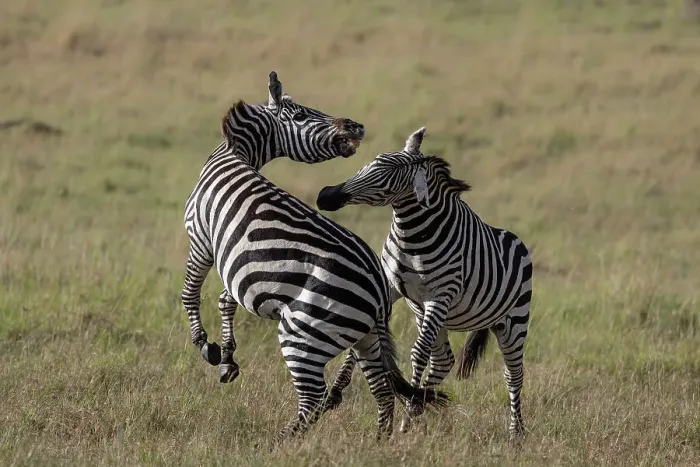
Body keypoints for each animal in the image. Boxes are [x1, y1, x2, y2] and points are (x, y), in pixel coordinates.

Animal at [182, 73, 449, 442]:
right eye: (301, 115)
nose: (355, 125)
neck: (234, 154)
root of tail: (379, 291)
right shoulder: (236, 263)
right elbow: (225, 301)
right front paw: (226, 358)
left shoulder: (200, 238)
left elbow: (190, 293)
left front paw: (204, 345)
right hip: (365, 337)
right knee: (382, 391)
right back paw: (378, 443)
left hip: (303, 333)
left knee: (313, 397)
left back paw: (277, 442)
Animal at [315, 127, 533, 441]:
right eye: (371, 161)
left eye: (389, 178)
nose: (326, 196)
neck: (412, 235)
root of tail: (516, 239)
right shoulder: (390, 287)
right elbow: (361, 344)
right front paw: (333, 395)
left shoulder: (439, 296)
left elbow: (417, 354)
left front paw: (407, 411)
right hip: (435, 317)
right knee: (443, 360)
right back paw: (420, 406)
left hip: (512, 322)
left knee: (513, 376)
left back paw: (515, 433)